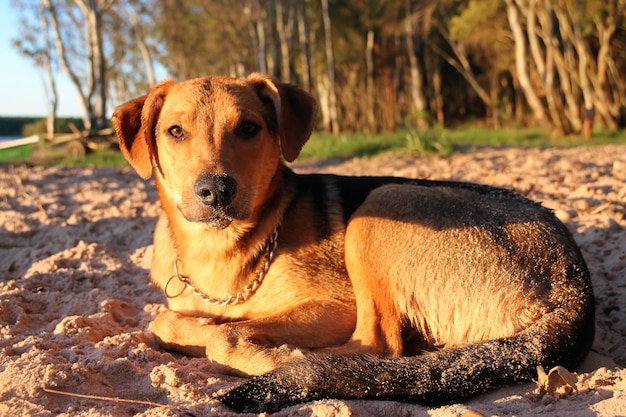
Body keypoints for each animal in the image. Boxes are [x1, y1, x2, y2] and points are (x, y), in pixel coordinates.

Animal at [109, 73, 592, 412]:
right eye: (175, 132)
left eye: (248, 128)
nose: (216, 191)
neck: (220, 247)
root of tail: (574, 284)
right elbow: (166, 320)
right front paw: (206, 325)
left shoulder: (335, 306)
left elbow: (224, 335)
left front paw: (267, 351)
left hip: (382, 205)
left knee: (378, 350)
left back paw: (307, 364)